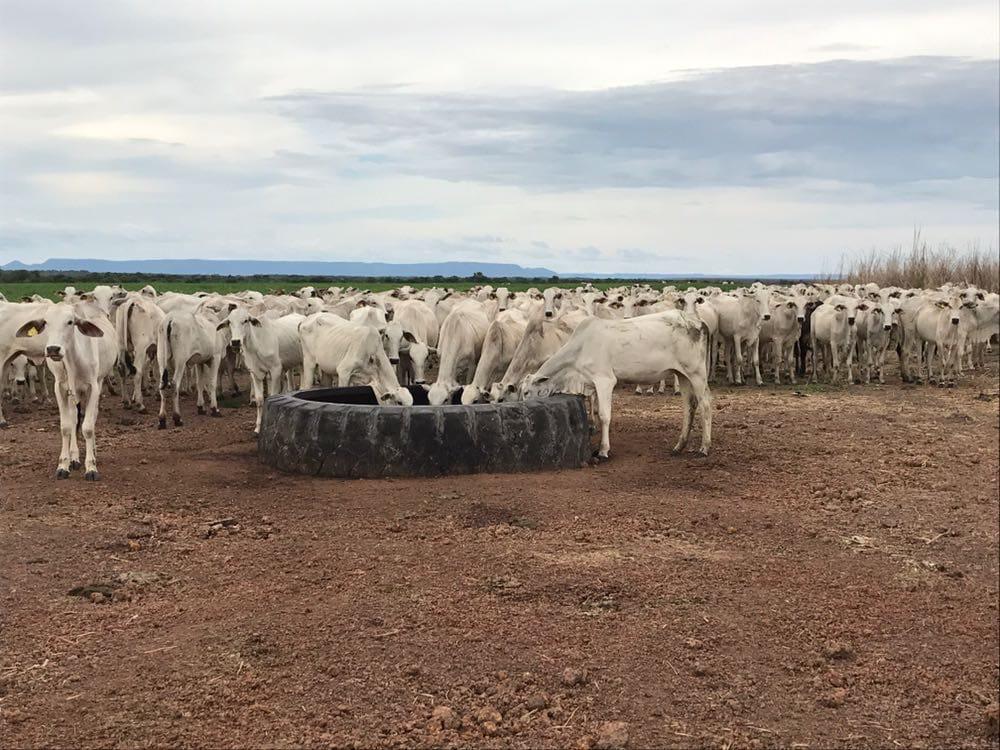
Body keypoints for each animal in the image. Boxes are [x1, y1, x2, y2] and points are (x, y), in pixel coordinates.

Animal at [524, 310, 712, 458]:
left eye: (526, 392)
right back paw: (679, 446)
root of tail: (698, 321)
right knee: (689, 406)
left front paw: (603, 450)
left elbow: (604, 416)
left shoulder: (605, 380)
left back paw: (704, 447)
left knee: (705, 405)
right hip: (682, 374)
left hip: (697, 373)